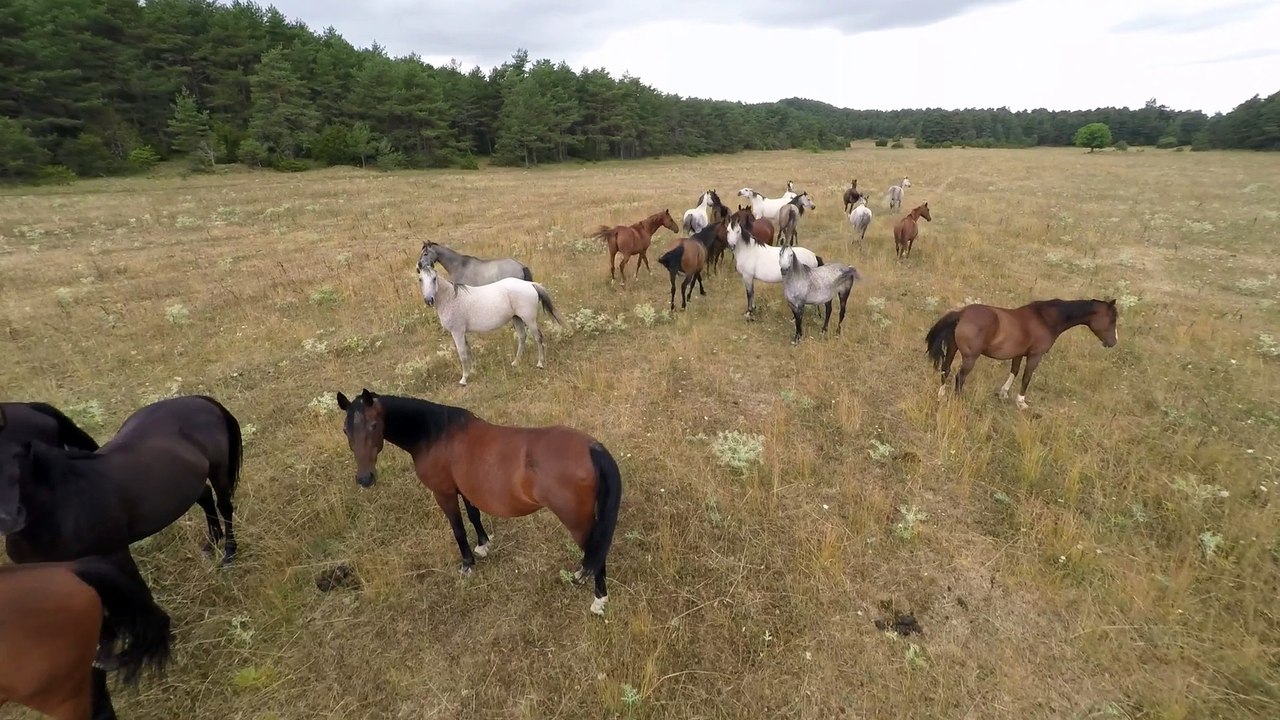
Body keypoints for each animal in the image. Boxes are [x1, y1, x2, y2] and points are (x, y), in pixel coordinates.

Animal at [0, 395, 243, 568]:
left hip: (219, 469)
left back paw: (229, 554)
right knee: (205, 496)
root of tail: (200, 400)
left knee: (224, 506)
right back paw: (212, 543)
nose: (8, 520)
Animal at [335, 389, 623, 615]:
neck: (435, 434)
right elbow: (474, 516)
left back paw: (599, 599)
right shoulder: (465, 488)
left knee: (595, 550)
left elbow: (458, 528)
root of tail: (592, 447)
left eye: (373, 426)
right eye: (345, 430)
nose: (365, 478)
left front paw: (467, 564)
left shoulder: (444, 493)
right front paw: (483, 545)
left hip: (577, 520)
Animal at [417, 264, 565, 386]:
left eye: (434, 278)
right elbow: (469, 349)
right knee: (522, 338)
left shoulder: (457, 332)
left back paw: (540, 363)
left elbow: (462, 354)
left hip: (529, 320)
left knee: (538, 338)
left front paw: (464, 379)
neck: (451, 298)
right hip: (516, 319)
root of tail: (529, 284)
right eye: (420, 280)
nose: (429, 300)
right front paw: (473, 370)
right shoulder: (462, 332)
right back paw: (515, 362)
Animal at [925, 299, 1118, 409]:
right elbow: (1026, 377)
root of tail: (962, 314)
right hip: (970, 358)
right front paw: (1021, 401)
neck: (1045, 319)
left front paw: (1003, 393)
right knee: (960, 377)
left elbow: (1015, 371)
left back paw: (941, 396)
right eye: (1112, 319)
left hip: (952, 349)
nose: (1113, 342)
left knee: (945, 371)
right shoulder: (1035, 355)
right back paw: (959, 400)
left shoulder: (1018, 353)